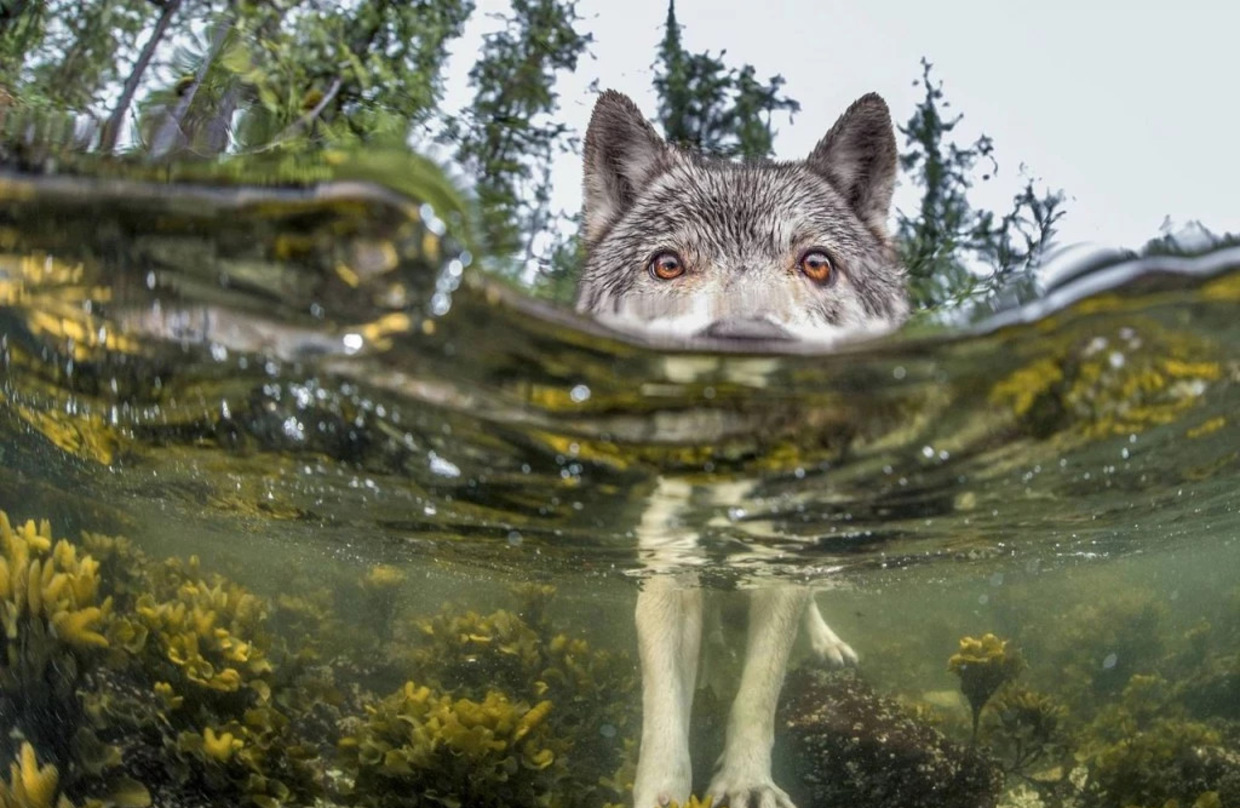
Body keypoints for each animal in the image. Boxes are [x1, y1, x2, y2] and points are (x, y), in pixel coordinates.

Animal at [575, 90, 907, 808]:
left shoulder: (777, 571)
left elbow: (758, 693)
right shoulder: (668, 574)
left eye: (816, 264)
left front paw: (749, 783)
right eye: (668, 264)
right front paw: (663, 794)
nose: (747, 342)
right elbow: (663, 714)